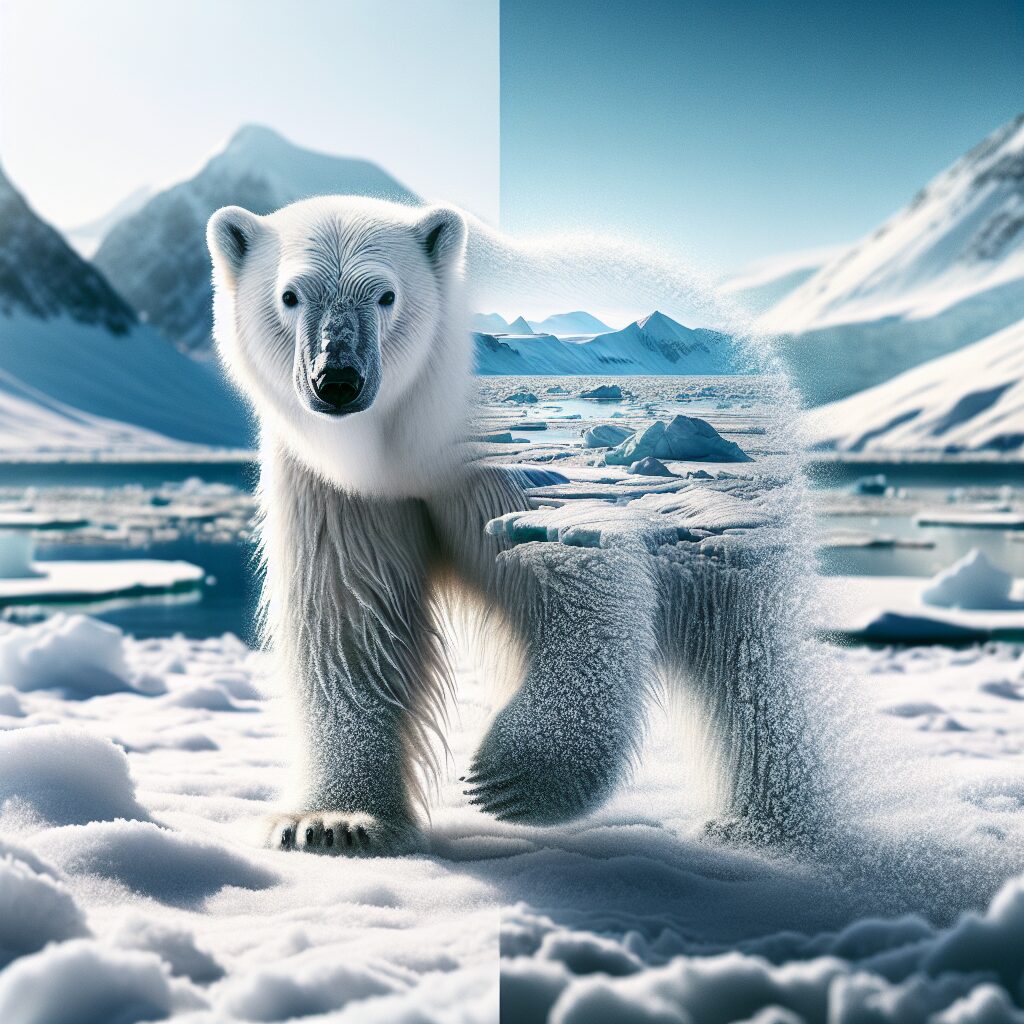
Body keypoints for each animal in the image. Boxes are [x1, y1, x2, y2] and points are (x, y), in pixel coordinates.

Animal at [206, 195, 827, 856]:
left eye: (385, 294)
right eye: (291, 295)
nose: (338, 380)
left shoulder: (490, 446)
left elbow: (563, 556)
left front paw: (508, 777)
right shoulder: (329, 478)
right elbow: (350, 609)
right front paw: (331, 822)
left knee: (752, 645)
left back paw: (771, 825)